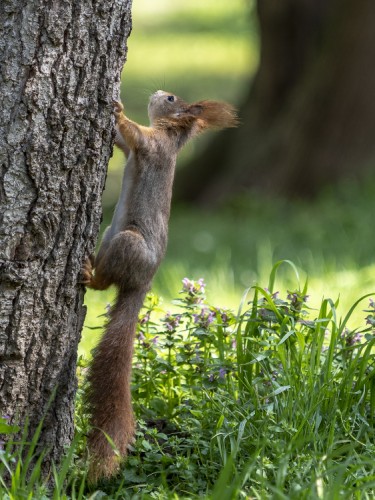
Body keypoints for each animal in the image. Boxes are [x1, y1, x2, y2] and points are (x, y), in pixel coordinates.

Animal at [82, 90, 238, 480]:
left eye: (170, 98)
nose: (157, 92)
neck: (172, 137)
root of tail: (143, 282)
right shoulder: (138, 149)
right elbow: (123, 144)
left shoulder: (153, 146)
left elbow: (134, 135)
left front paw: (119, 110)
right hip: (109, 238)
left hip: (127, 242)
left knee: (105, 283)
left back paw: (89, 275)